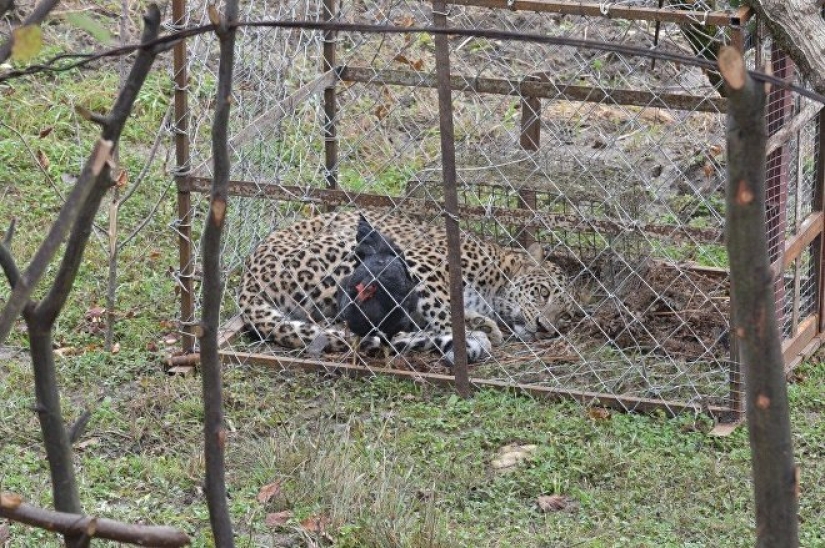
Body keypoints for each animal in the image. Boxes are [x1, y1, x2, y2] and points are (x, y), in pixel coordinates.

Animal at [238, 210, 575, 363]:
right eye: (543, 294)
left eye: (564, 315)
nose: (545, 327)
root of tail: (246, 281)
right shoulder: (422, 263)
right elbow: (441, 309)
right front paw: (469, 331)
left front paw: (482, 325)